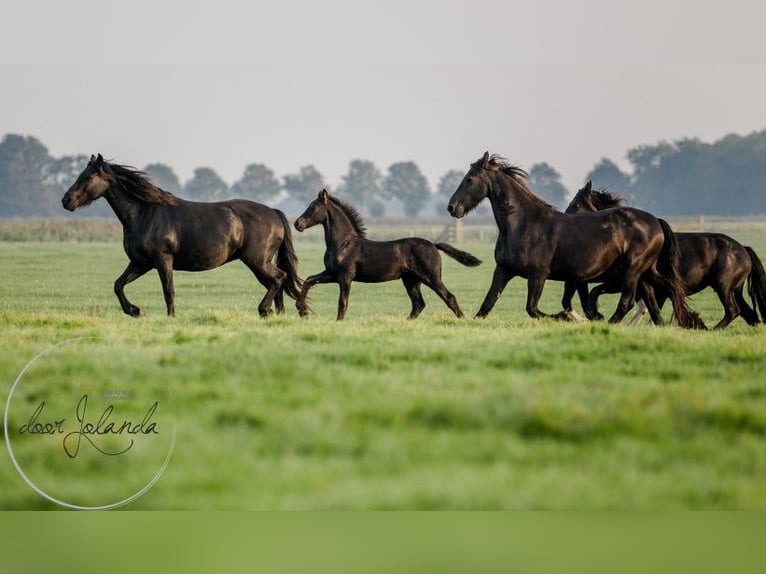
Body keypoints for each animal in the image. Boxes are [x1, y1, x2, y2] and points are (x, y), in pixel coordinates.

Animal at [61, 155, 302, 318]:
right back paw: (275, 314)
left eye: (90, 176)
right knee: (277, 282)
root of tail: (274, 212)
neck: (143, 213)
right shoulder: (140, 263)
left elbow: (168, 291)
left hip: (256, 261)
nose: (66, 200)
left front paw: (169, 317)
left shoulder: (162, 259)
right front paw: (135, 311)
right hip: (259, 263)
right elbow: (118, 285)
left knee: (278, 278)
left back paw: (264, 310)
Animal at [294, 190, 480, 322]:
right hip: (411, 280)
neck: (343, 243)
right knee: (418, 304)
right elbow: (309, 280)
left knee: (448, 297)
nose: (297, 224)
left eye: (313, 207)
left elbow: (342, 302)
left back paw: (463, 320)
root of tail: (434, 245)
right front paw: (302, 310)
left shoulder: (345, 276)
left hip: (431, 277)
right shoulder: (332, 274)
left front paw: (338, 322)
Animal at [448, 151, 704, 330]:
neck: (524, 224)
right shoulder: (503, 270)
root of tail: (656, 222)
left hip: (633, 271)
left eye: (470, 179)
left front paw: (568, 318)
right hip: (647, 272)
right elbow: (487, 305)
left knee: (628, 302)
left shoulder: (538, 274)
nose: (452, 207)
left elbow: (533, 308)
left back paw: (607, 324)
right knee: (661, 297)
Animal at [564, 182, 766, 330]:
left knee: (733, 310)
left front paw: (596, 315)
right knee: (749, 314)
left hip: (723, 287)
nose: (565, 220)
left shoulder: (623, 281)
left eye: (576, 204)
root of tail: (744, 249)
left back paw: (712, 329)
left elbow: (602, 294)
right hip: (735, 290)